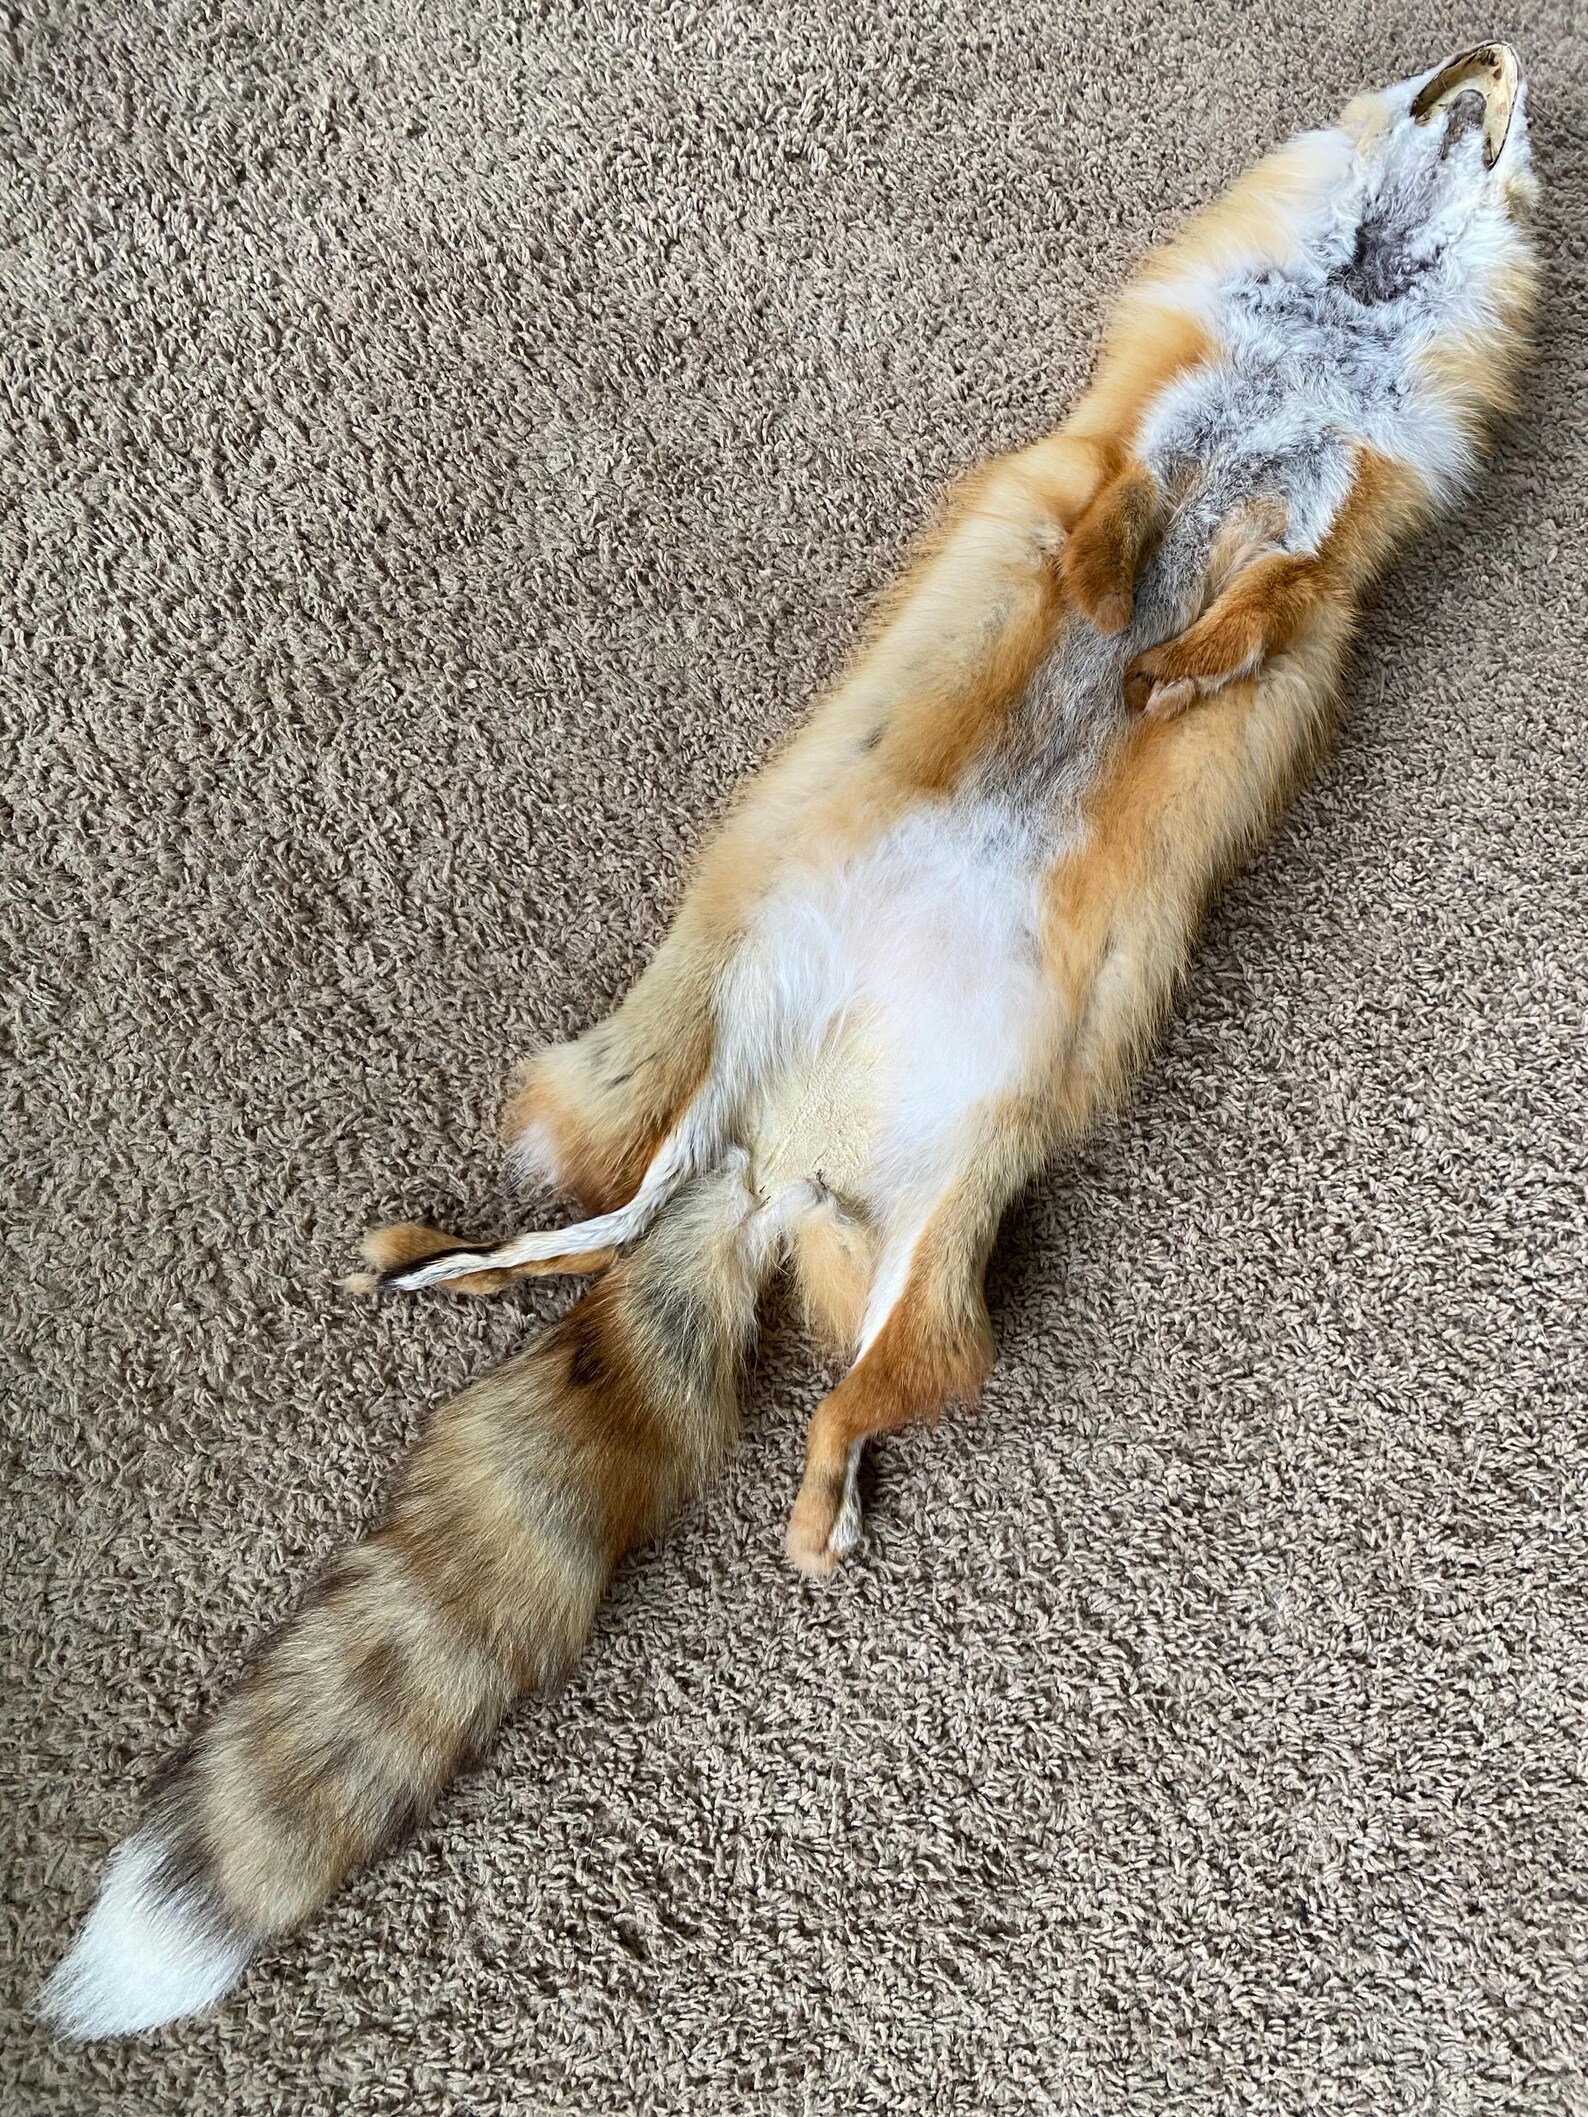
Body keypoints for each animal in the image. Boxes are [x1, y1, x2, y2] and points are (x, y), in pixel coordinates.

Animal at [41, 46, 1539, 2038]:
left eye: (1499, 128)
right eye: (1424, 85)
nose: (1493, 56)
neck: (1335, 335)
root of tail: (779, 1175)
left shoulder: (1328, 534)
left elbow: (1249, 615)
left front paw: (1164, 668)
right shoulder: (1123, 439)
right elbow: (1110, 532)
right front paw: (1119, 613)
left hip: (926, 1275)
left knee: (812, 1382)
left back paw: (792, 1485)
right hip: (734, 1079)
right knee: (595, 1242)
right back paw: (454, 1265)